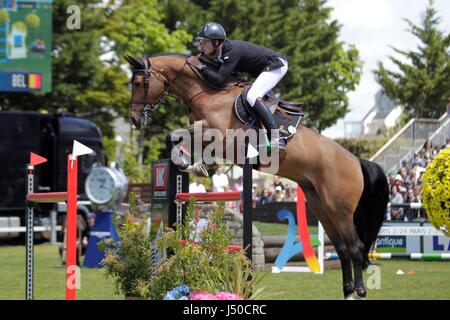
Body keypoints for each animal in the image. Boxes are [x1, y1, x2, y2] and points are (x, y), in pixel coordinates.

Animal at [125, 53, 388, 300]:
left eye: (138, 83)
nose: (135, 119)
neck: (208, 93)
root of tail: (357, 161)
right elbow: (177, 137)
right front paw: (192, 165)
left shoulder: (219, 137)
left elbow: (175, 135)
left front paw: (190, 164)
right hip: (322, 206)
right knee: (343, 248)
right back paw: (348, 292)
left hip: (340, 209)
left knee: (355, 247)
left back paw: (360, 291)